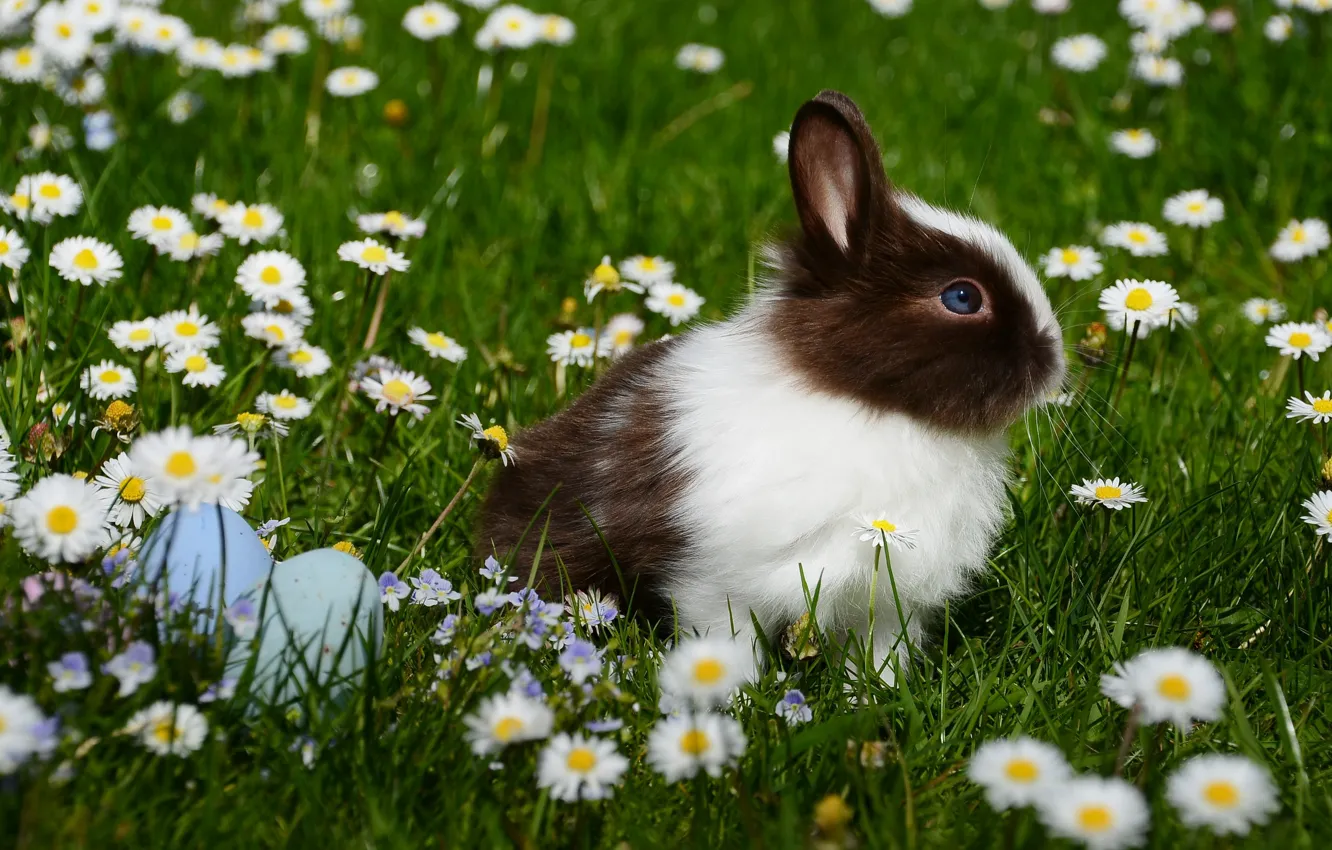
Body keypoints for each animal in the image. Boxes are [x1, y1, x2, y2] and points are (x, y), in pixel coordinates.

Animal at [474, 89, 1065, 682]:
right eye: (962, 297)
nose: (1055, 362)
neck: (870, 406)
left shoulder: (885, 600)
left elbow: (878, 656)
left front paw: (874, 693)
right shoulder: (717, 583)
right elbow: (724, 645)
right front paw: (730, 694)